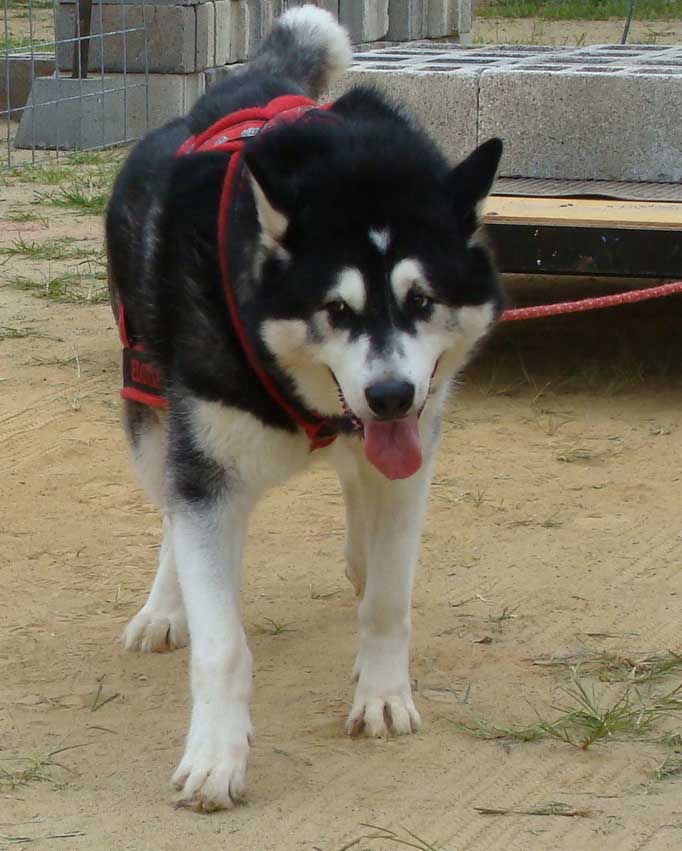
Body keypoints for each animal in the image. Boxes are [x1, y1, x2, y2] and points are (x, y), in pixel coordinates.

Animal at [105, 5, 500, 812]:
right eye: (335, 310)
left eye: (423, 301)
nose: (390, 393)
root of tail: (255, 86)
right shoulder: (209, 472)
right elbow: (221, 640)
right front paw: (215, 757)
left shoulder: (412, 448)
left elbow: (388, 597)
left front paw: (382, 694)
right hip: (151, 408)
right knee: (168, 508)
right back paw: (166, 606)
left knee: (357, 484)